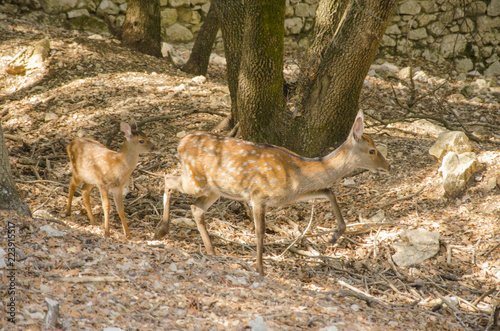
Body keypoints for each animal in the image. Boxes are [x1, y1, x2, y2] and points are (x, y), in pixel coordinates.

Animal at [154, 110, 388, 276]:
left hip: (214, 190)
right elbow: (260, 231)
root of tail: (180, 143)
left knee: (195, 207)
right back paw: (162, 231)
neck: (298, 169)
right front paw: (260, 268)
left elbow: (328, 190)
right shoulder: (258, 195)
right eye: (372, 151)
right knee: (168, 178)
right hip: (196, 180)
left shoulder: (296, 193)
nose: (387, 165)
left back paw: (211, 251)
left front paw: (334, 236)